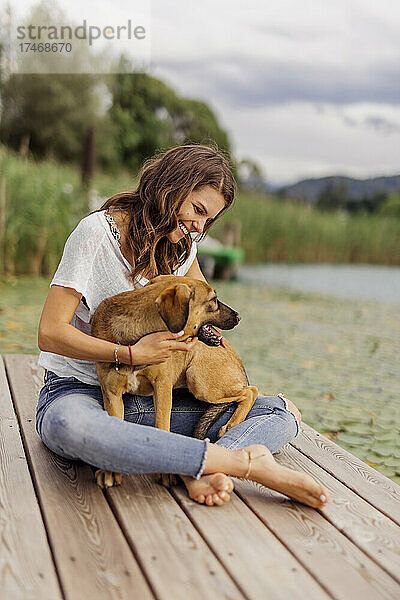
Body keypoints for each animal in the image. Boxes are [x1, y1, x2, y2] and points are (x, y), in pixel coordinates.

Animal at [91, 276, 260, 488]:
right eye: (213, 299)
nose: (239, 317)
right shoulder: (111, 394)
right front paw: (109, 472)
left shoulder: (162, 386)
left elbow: (162, 426)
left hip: (198, 380)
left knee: (251, 390)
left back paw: (231, 424)